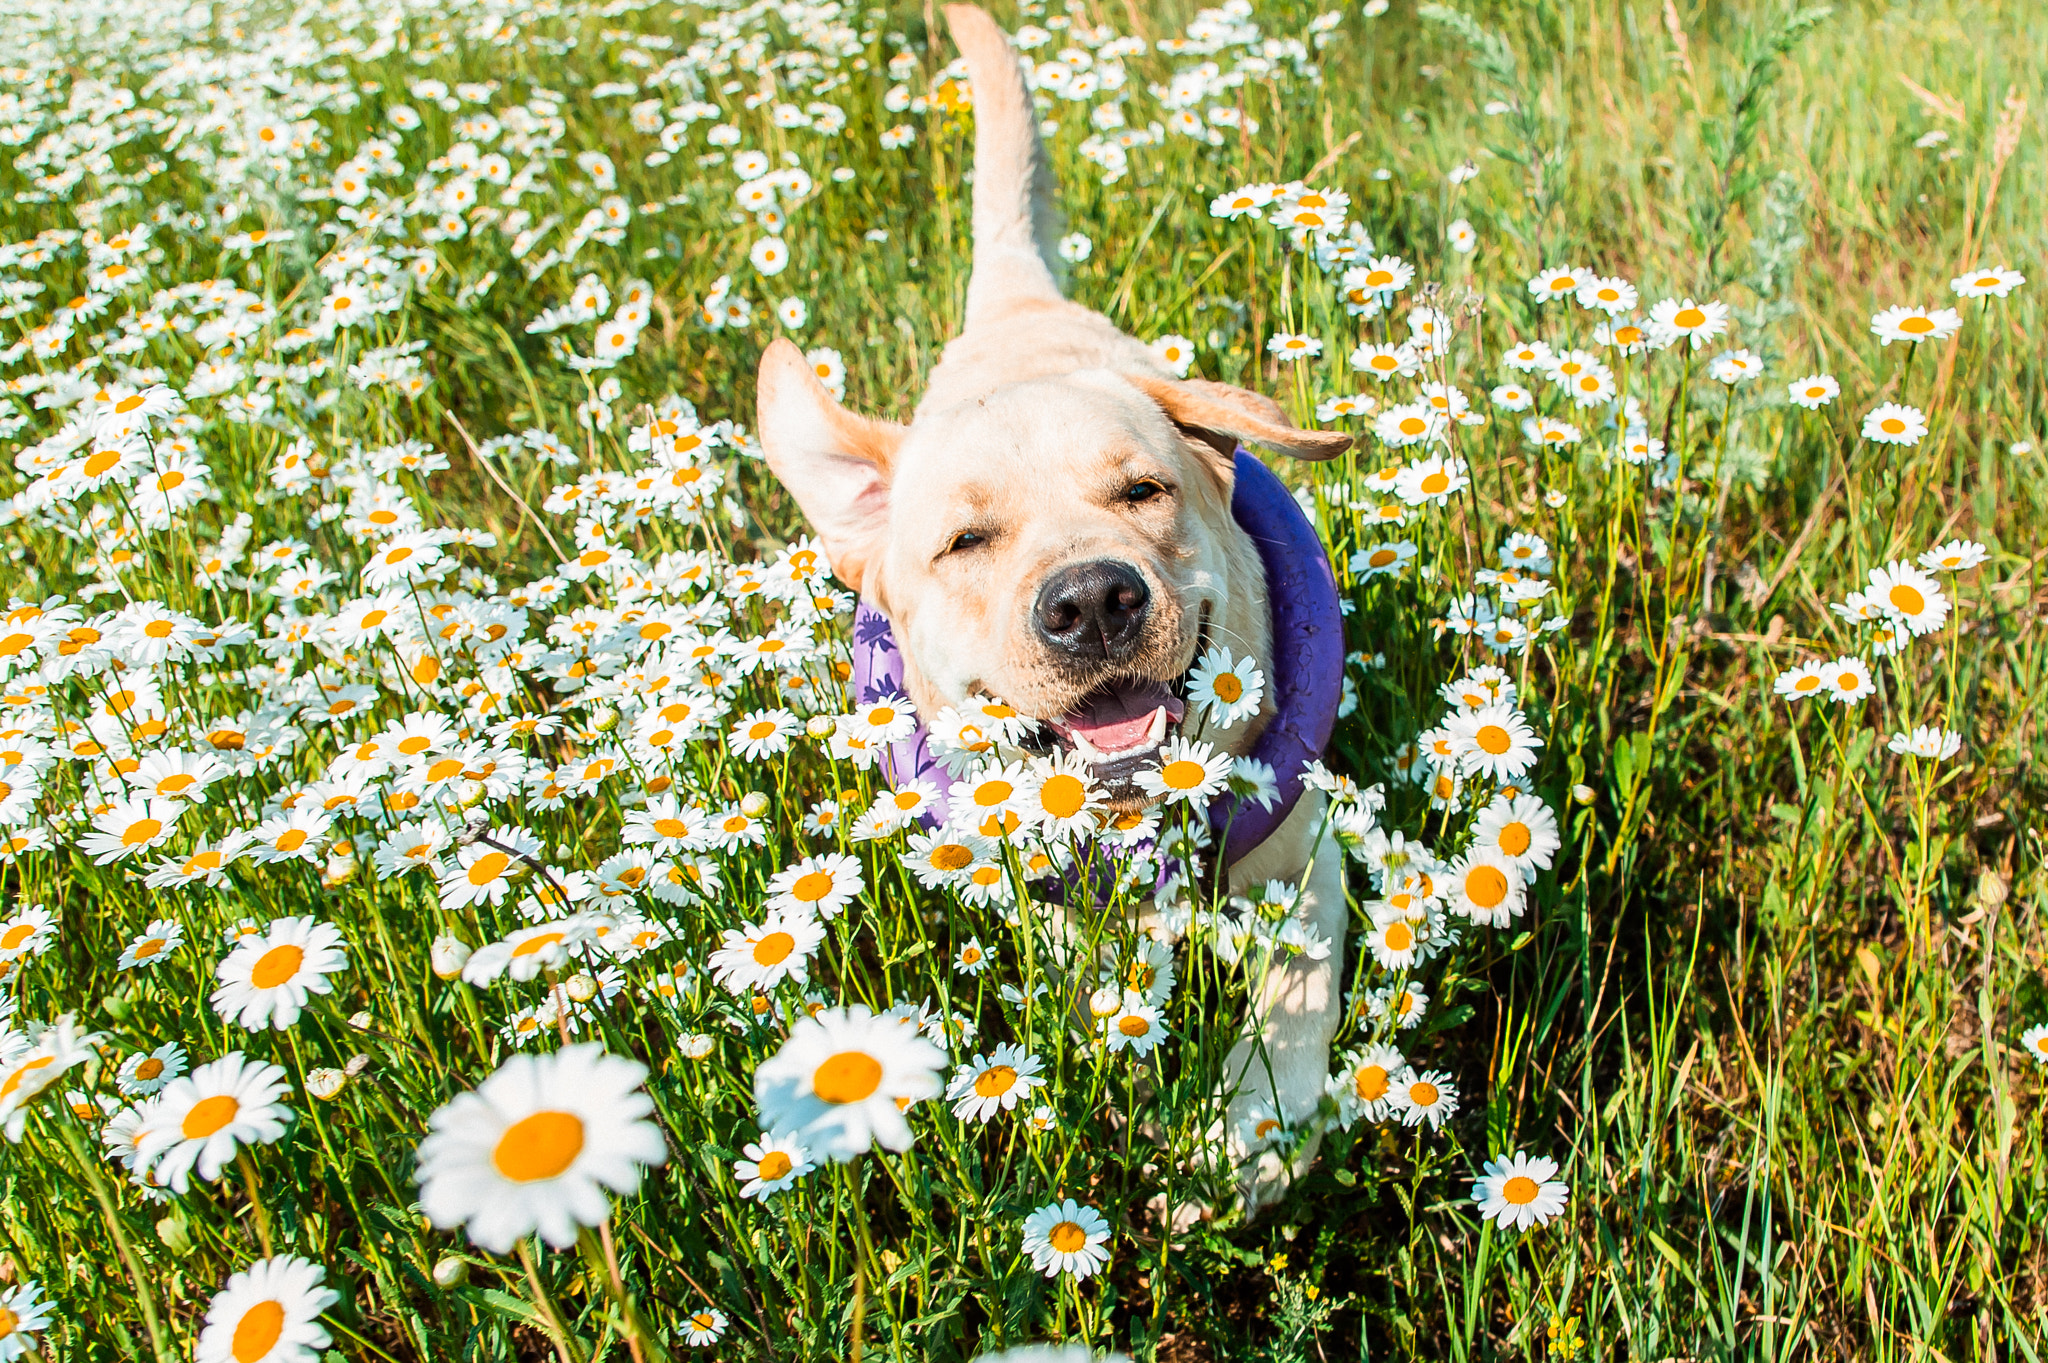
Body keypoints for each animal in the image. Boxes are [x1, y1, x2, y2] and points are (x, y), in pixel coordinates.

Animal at [761, 7, 1351, 1203]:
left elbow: (1295, 993)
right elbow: (1092, 995)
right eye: (964, 542)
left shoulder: (1317, 852)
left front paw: (1243, 1136)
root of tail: (1015, 305)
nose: (1091, 602)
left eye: (1143, 491)